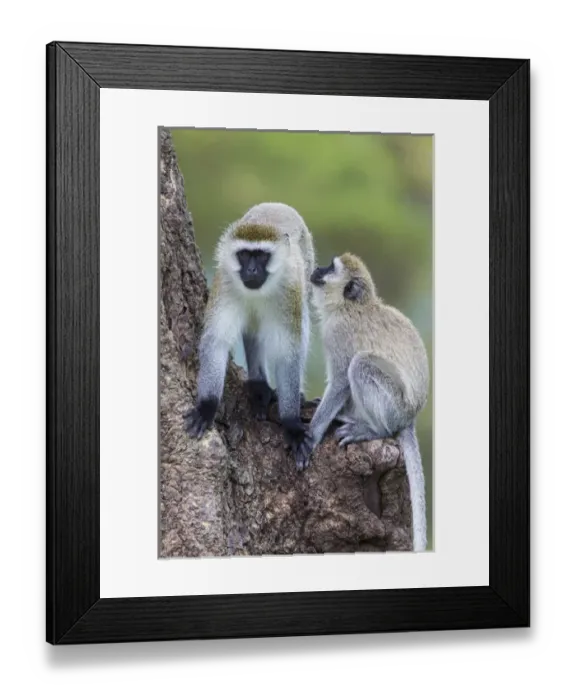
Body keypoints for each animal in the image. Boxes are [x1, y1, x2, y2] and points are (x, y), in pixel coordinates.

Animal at [183, 202, 316, 469]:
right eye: (244, 255)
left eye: (262, 256)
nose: (252, 269)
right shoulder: (225, 281)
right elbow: (216, 342)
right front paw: (206, 407)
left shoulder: (289, 291)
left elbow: (288, 353)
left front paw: (292, 424)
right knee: (253, 330)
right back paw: (258, 384)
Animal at [300, 252, 429, 552]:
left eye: (330, 267)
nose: (316, 269)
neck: (350, 306)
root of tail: (410, 417)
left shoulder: (338, 332)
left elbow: (340, 381)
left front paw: (311, 435)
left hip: (394, 407)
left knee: (361, 364)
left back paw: (370, 429)